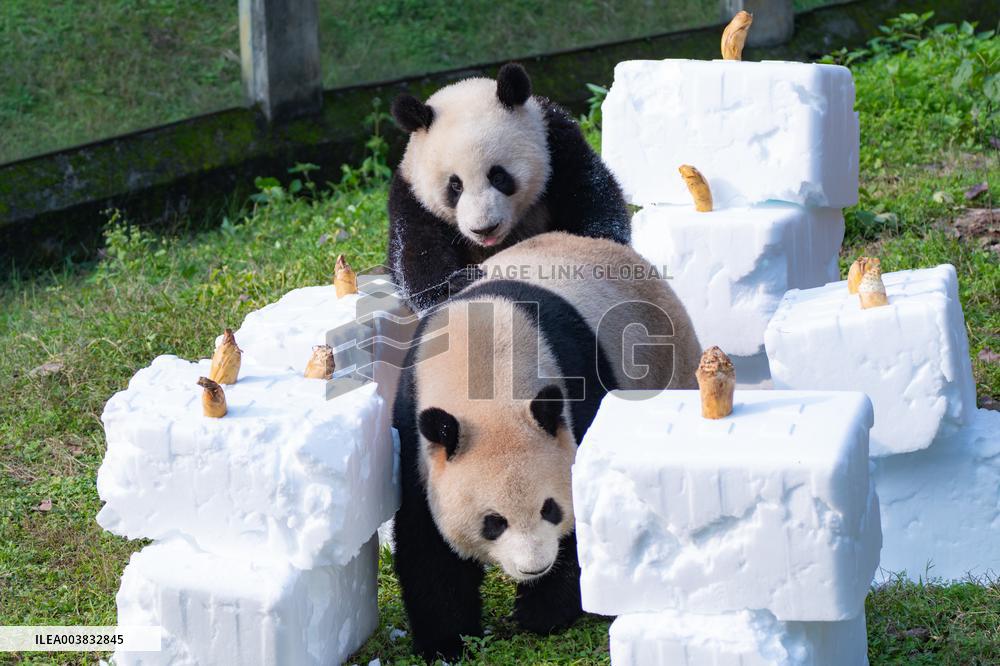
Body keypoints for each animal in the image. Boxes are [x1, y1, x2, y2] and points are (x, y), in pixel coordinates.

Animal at [387, 63, 630, 313]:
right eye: (455, 185)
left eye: (498, 176)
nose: (484, 229)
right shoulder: (412, 194)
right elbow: (416, 255)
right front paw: (457, 284)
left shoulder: (558, 145)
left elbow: (593, 198)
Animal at [391, 232, 701, 660]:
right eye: (493, 523)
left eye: (550, 508)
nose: (534, 568)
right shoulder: (416, 436)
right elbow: (426, 540)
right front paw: (447, 642)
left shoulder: (576, 390)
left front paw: (541, 613)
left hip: (665, 362)